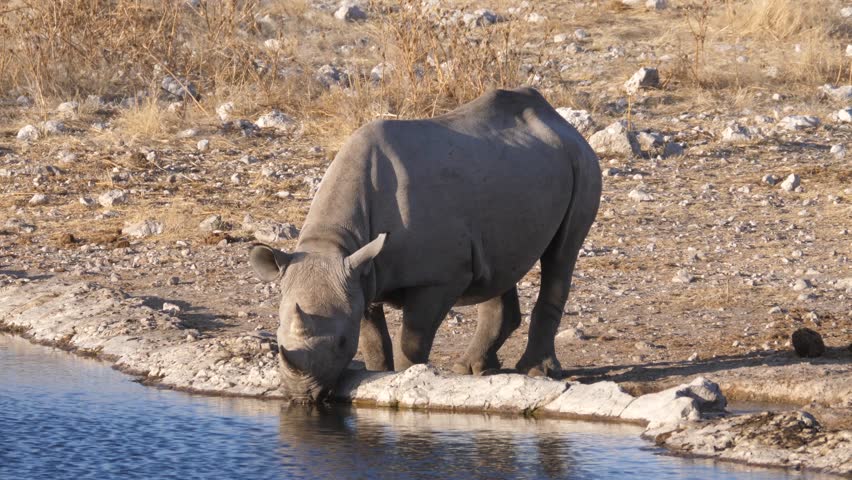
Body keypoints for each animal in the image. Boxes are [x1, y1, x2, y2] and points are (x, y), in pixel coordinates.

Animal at [250, 87, 601, 401]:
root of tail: (558, 119)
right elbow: (372, 337)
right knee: (500, 266)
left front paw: (408, 377)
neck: (333, 244)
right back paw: (473, 369)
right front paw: (378, 374)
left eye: (341, 343)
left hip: (583, 162)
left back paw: (535, 372)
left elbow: (413, 338)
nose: (301, 395)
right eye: (278, 336)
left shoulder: (439, 277)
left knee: (561, 254)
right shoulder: (359, 271)